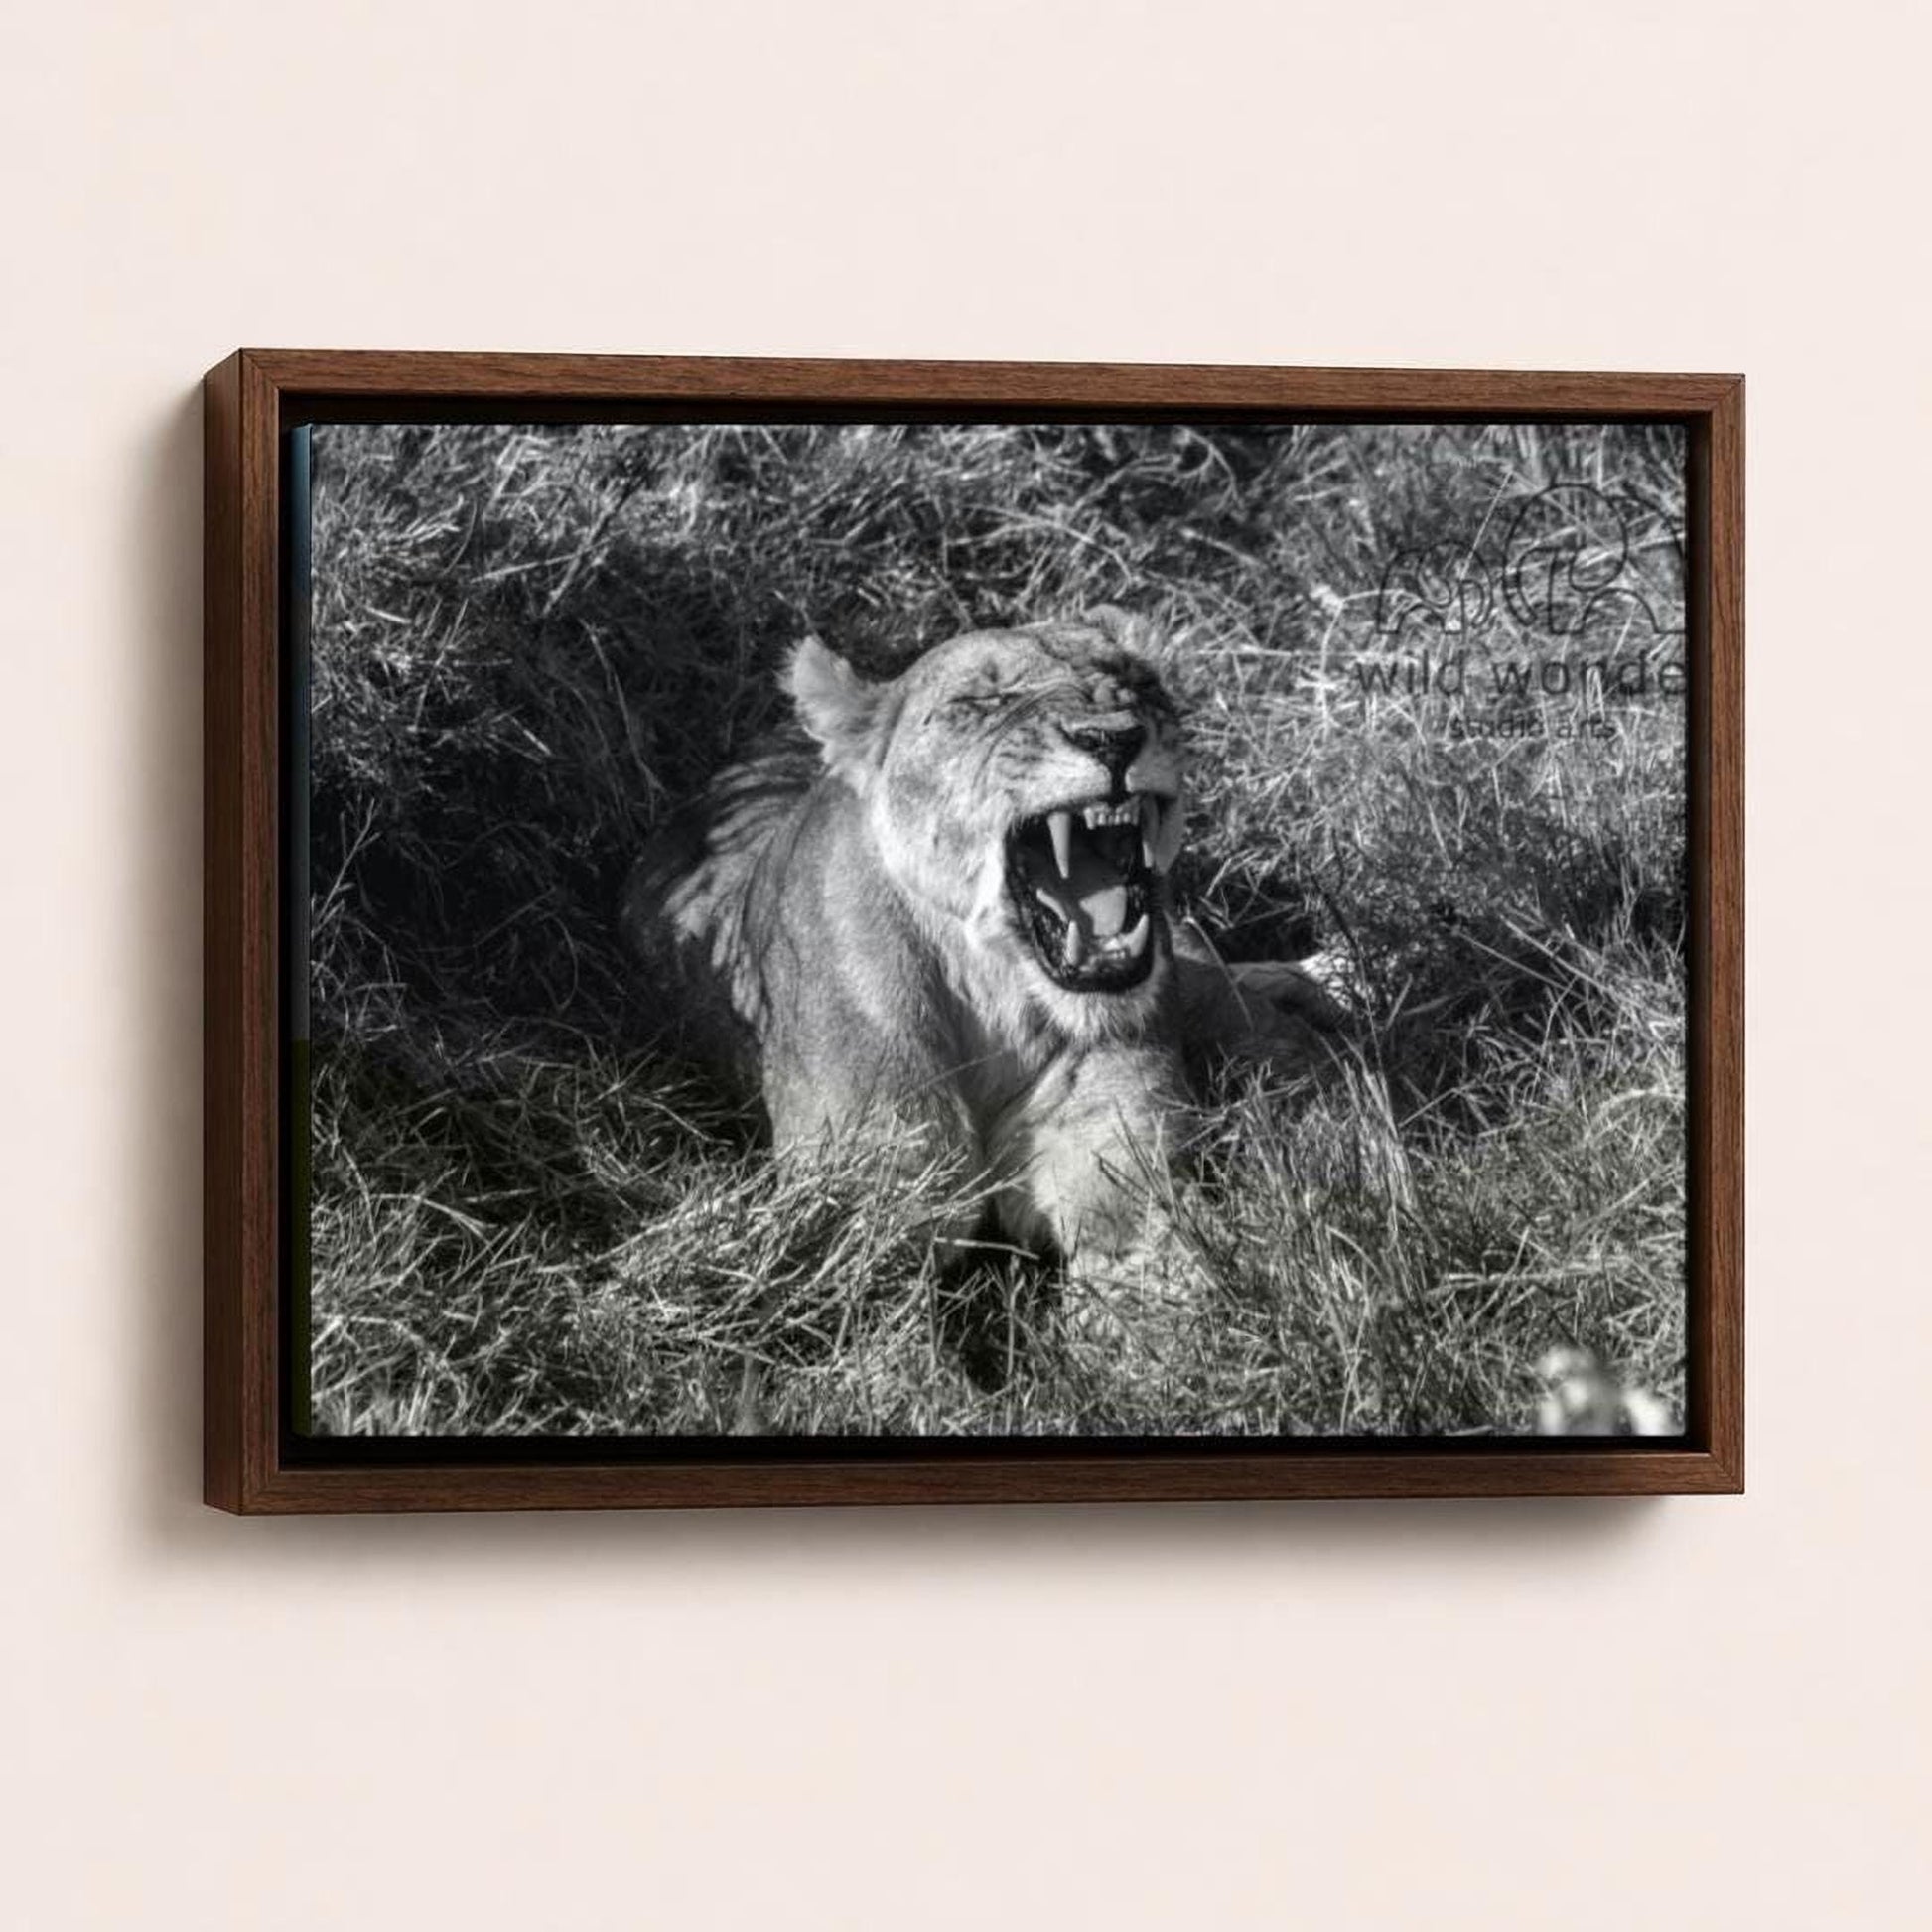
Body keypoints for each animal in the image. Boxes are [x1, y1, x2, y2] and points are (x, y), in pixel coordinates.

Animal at [622, 609, 1342, 1305]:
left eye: (1137, 683)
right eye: (981, 700)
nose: (1113, 738)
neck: (995, 994)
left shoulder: (1124, 1178)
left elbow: (1163, 1312)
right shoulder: (865, 1209)